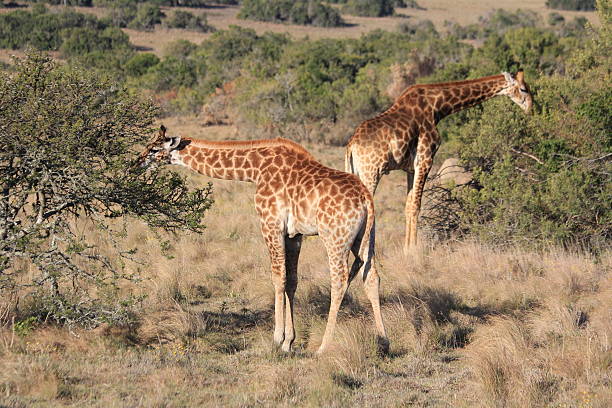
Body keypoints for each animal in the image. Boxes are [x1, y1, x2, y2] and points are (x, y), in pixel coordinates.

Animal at [139, 126, 388, 356]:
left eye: (154, 149)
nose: (136, 163)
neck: (256, 169)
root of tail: (366, 198)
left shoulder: (270, 224)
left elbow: (278, 278)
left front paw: (277, 339)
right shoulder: (294, 235)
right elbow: (291, 281)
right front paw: (289, 342)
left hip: (335, 238)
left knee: (339, 281)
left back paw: (323, 347)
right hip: (365, 238)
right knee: (371, 276)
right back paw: (384, 341)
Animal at [346, 71, 532, 253]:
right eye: (523, 89)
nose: (530, 108)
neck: (438, 107)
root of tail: (351, 145)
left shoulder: (410, 168)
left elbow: (408, 206)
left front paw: (406, 249)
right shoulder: (425, 159)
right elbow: (416, 206)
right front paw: (413, 250)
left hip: (355, 172)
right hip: (371, 172)